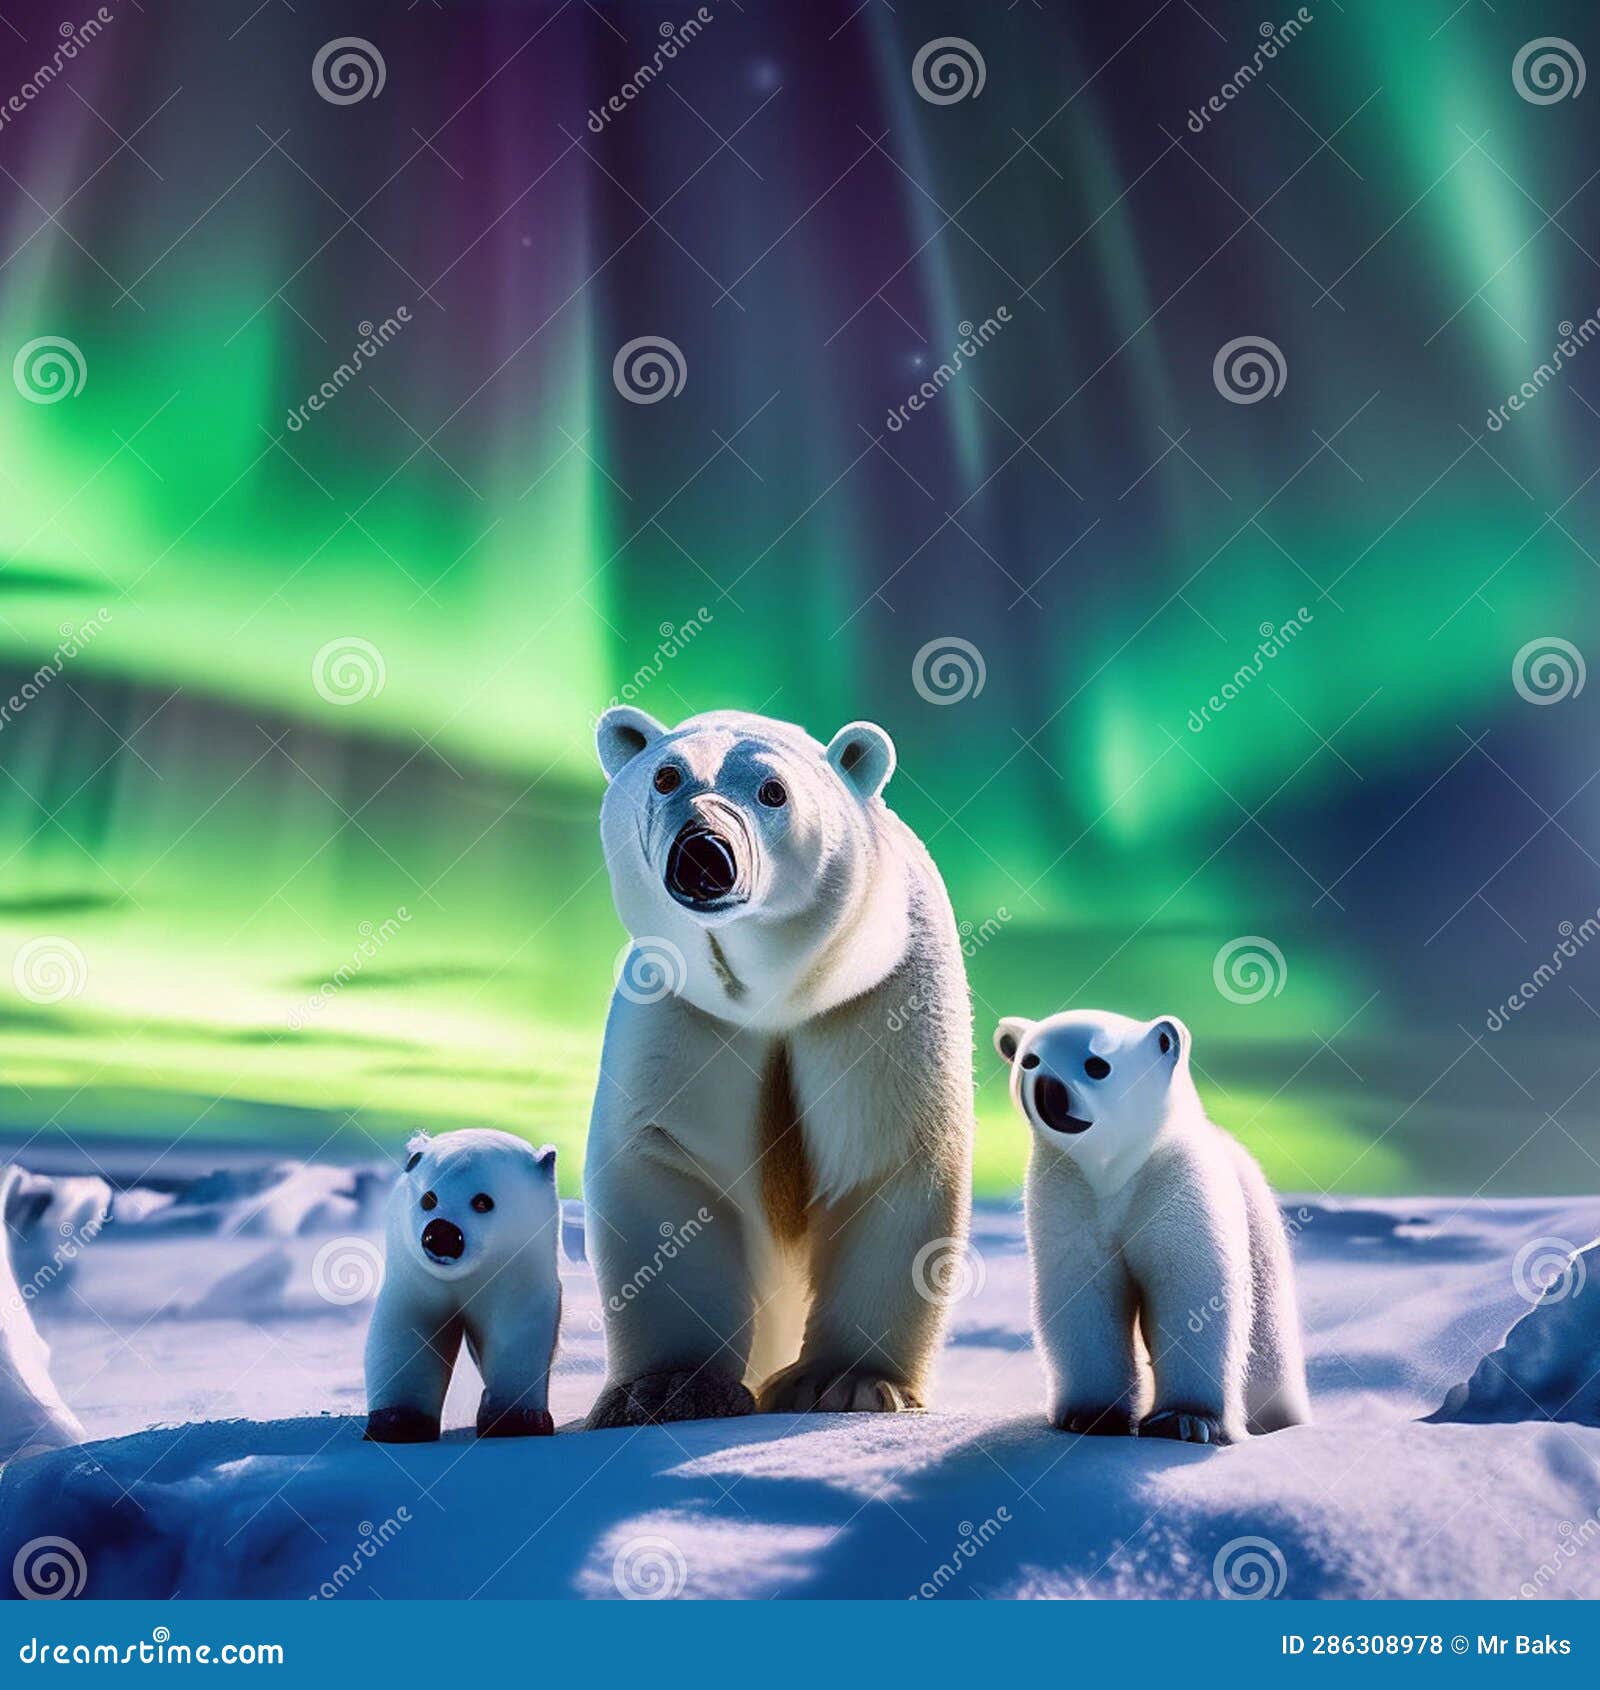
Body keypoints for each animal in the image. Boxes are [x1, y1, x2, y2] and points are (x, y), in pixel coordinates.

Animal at [364, 1129, 562, 1442]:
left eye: (482, 1201)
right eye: (428, 1198)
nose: (441, 1234)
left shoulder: (519, 1271)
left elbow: (517, 1334)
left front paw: (515, 1421)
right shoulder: (416, 1279)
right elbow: (405, 1331)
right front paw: (397, 1423)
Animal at [585, 706, 973, 1427]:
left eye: (773, 791)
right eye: (666, 775)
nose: (704, 850)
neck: (772, 997)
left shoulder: (876, 1002)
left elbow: (892, 1161)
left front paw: (847, 1382)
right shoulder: (682, 1015)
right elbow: (665, 1162)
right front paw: (670, 1390)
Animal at [994, 1009, 1310, 1444]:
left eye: (1097, 1065)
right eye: (1030, 1061)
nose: (1047, 1090)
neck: (1112, 1174)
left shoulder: (1176, 1184)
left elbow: (1192, 1291)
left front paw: (1183, 1420)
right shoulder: (1068, 1192)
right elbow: (1082, 1293)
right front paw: (1091, 1416)